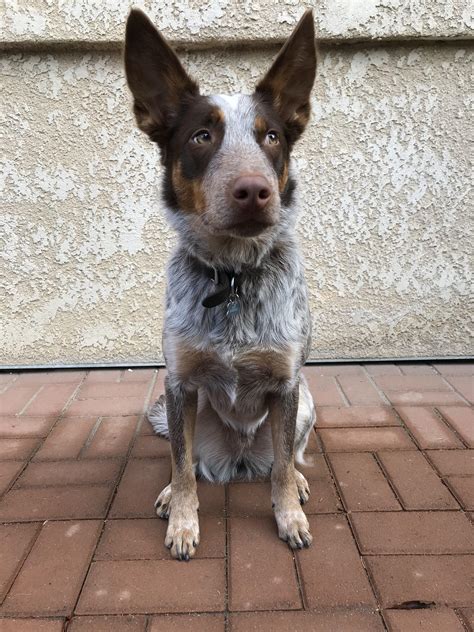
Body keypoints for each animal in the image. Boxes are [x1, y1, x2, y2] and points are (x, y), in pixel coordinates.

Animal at [125, 7, 318, 560]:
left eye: (271, 137)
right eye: (201, 136)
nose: (254, 190)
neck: (232, 277)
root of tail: (240, 458)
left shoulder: (287, 383)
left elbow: (281, 469)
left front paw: (289, 517)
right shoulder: (180, 383)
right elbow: (182, 465)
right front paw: (183, 521)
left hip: (306, 404)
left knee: (286, 457)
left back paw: (296, 480)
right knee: (186, 460)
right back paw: (170, 493)